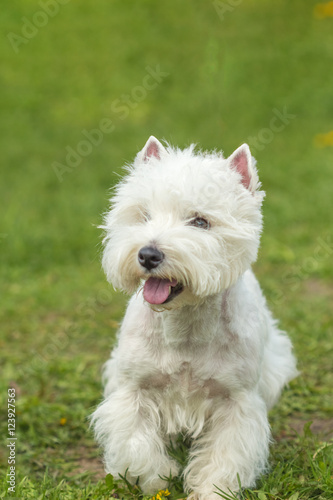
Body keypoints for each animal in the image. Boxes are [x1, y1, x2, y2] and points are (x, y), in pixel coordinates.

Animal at [90, 135, 296, 498]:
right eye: (144, 215)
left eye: (200, 221)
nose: (148, 254)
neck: (184, 323)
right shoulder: (132, 389)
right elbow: (135, 444)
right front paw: (158, 478)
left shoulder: (236, 400)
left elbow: (224, 456)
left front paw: (211, 490)